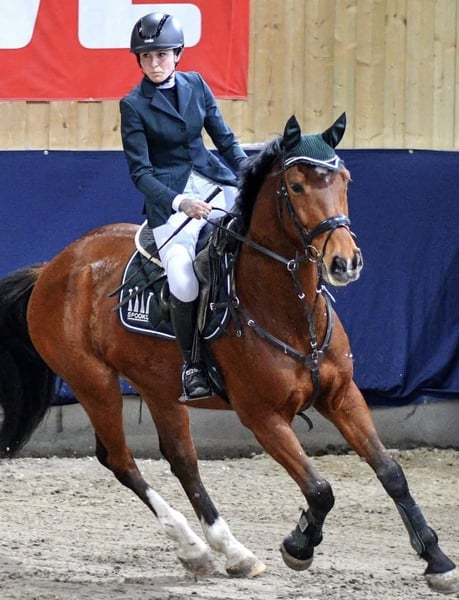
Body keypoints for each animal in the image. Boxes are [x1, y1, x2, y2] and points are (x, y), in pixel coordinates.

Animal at [0, 113, 457, 594]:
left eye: (345, 179)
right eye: (297, 187)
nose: (344, 263)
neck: (289, 309)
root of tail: (53, 267)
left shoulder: (342, 396)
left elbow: (391, 473)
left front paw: (437, 561)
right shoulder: (262, 416)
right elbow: (320, 489)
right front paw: (298, 546)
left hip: (158, 385)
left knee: (182, 460)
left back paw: (229, 553)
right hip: (94, 383)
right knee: (120, 460)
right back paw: (195, 547)